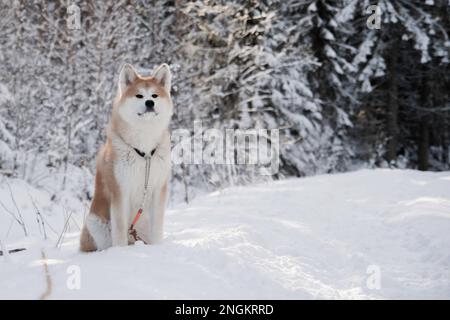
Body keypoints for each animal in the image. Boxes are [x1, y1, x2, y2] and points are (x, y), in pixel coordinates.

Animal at [79, 63, 172, 252]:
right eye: (139, 95)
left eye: (154, 95)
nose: (149, 102)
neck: (144, 151)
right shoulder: (120, 191)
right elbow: (120, 230)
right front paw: (121, 253)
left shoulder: (159, 189)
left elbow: (157, 229)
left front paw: (158, 248)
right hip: (95, 223)